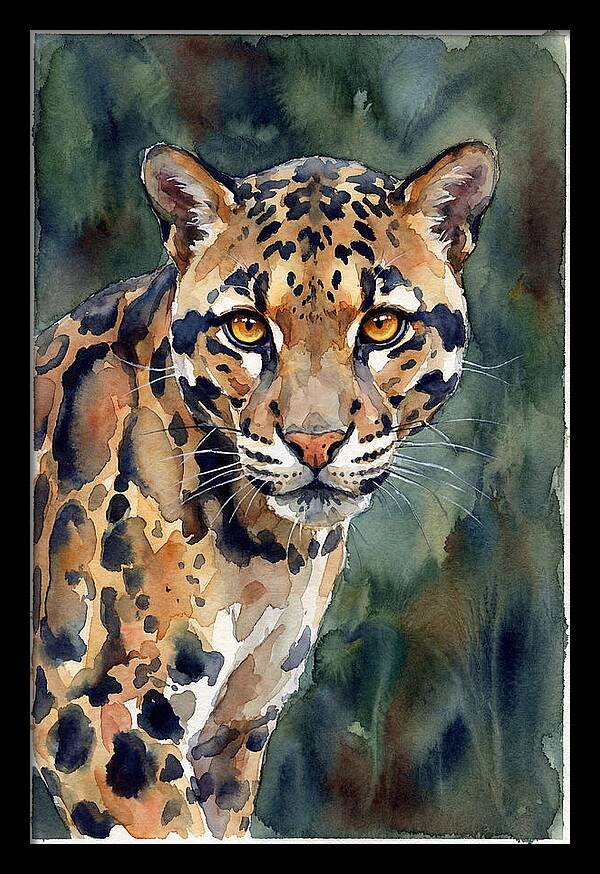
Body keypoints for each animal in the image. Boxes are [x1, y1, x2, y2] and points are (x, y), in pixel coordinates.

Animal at [32, 140, 498, 840]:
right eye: (248, 328)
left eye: (383, 326)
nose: (315, 441)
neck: (266, 553)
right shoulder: (98, 721)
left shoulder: (233, 734)